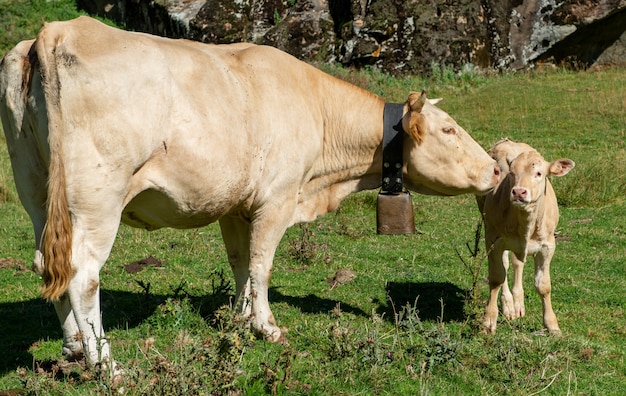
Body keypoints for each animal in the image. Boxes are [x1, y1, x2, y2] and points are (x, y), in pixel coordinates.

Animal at [0, 16, 498, 368]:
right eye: (449, 129)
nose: (495, 167)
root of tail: (59, 30)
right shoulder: (276, 198)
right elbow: (262, 265)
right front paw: (266, 326)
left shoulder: (236, 206)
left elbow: (240, 262)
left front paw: (239, 319)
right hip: (97, 197)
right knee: (82, 273)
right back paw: (104, 363)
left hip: (36, 189)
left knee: (49, 263)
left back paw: (72, 348)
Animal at [476, 139, 572, 334]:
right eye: (512, 173)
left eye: (539, 173)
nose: (519, 192)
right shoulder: (493, 240)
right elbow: (496, 278)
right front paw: (489, 321)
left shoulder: (547, 246)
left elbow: (543, 285)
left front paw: (552, 325)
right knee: (505, 266)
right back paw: (509, 306)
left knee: (517, 263)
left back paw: (518, 302)